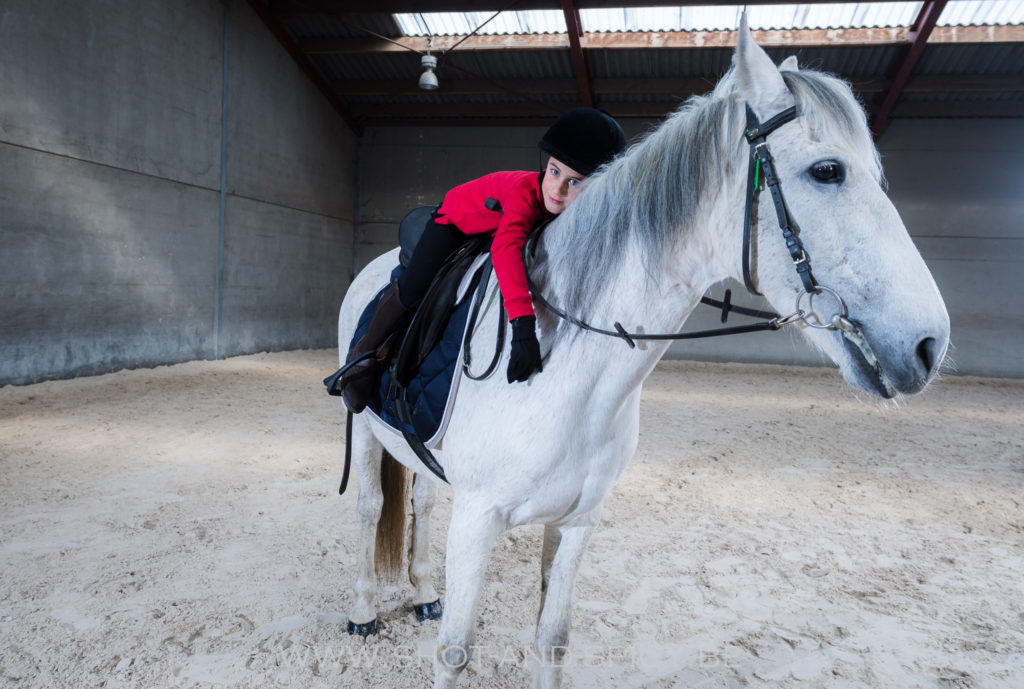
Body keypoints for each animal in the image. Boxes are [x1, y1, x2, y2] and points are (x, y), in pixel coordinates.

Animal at [335, 21, 950, 687]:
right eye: (828, 170)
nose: (929, 344)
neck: (566, 374)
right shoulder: (476, 524)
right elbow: (453, 652)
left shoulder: (576, 522)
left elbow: (551, 639)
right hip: (364, 429)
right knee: (369, 507)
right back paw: (363, 610)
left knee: (420, 497)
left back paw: (423, 593)